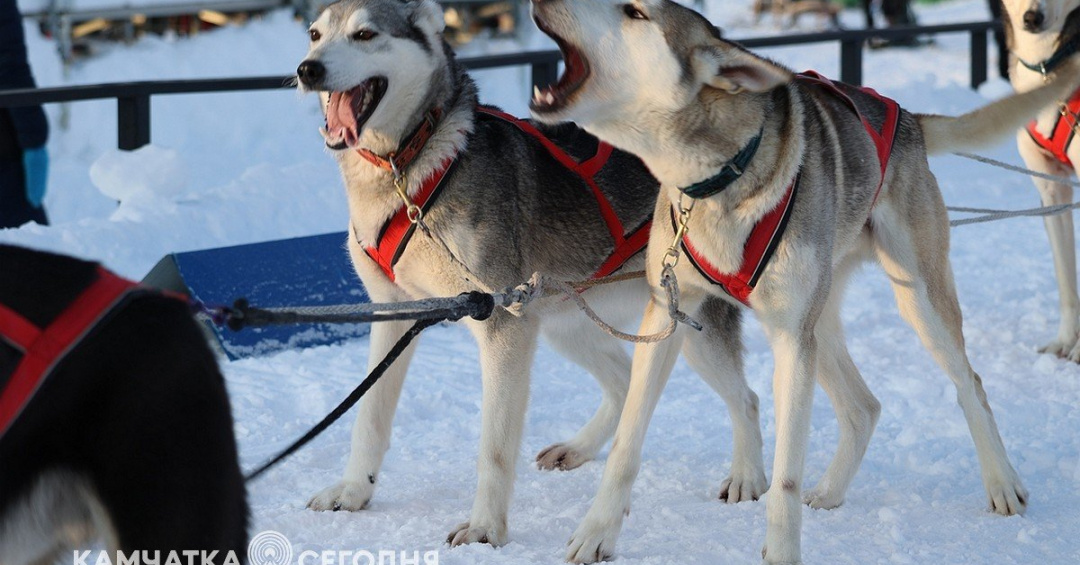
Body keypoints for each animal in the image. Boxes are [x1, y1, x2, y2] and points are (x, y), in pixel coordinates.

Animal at [295, 0, 768, 548]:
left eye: (365, 34)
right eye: (314, 35)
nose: (308, 69)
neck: (408, 164)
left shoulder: (504, 326)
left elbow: (494, 448)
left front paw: (485, 528)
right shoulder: (396, 315)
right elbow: (368, 418)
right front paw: (354, 492)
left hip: (687, 332)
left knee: (747, 398)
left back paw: (748, 476)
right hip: (564, 321)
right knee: (624, 381)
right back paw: (580, 447)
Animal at [524, 0, 1080, 561]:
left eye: (634, 12)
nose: (541, 2)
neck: (719, 179)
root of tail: (906, 119)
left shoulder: (791, 342)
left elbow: (786, 476)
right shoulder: (670, 317)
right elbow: (626, 445)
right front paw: (596, 532)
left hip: (912, 301)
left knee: (970, 384)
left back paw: (1002, 482)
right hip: (818, 325)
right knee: (864, 407)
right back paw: (832, 490)